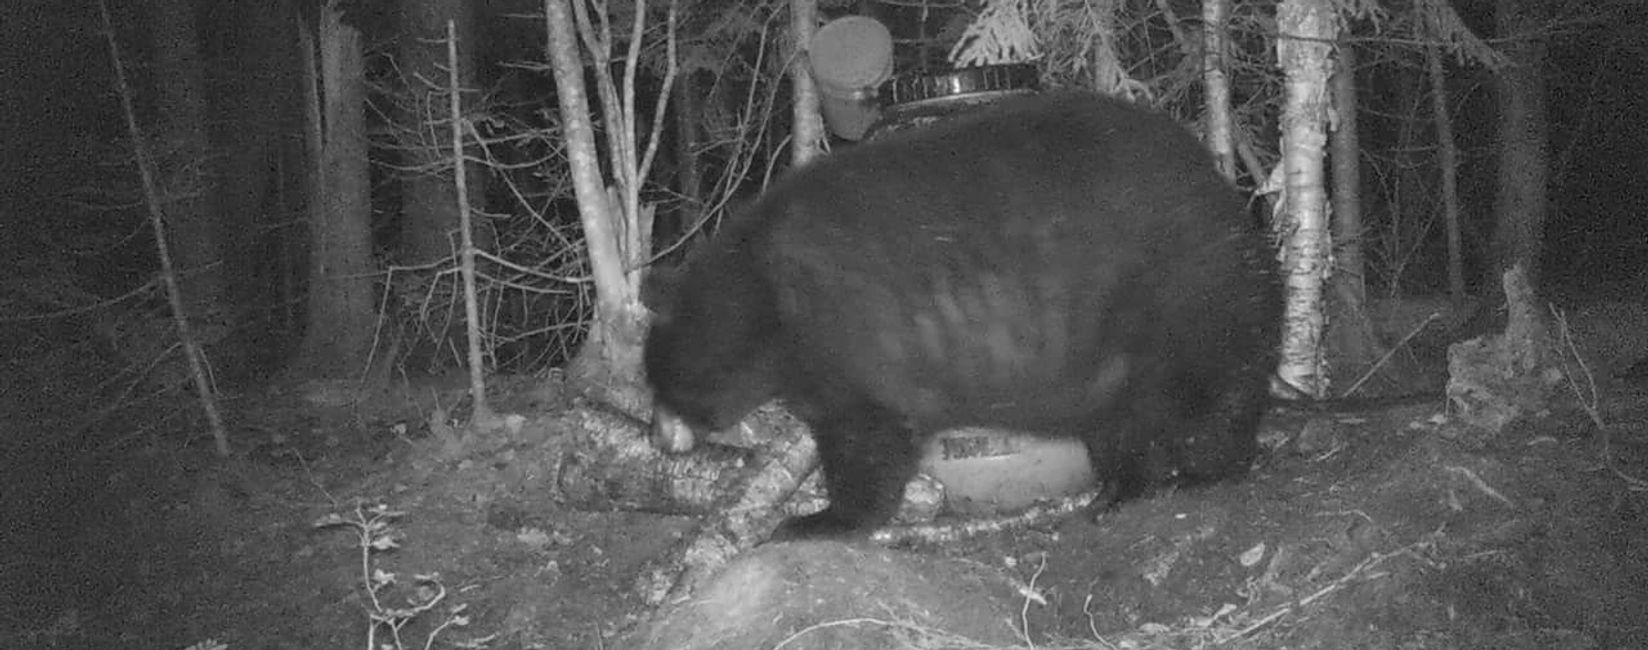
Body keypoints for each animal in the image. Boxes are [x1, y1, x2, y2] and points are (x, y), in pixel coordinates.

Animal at [643, 91, 1282, 541]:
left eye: (658, 384)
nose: (656, 439)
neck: (763, 299)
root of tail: (1223, 187)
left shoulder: (850, 332)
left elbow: (869, 435)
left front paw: (818, 519)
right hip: (1113, 354)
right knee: (1121, 422)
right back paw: (1118, 492)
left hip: (1186, 292)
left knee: (1209, 392)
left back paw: (1206, 467)